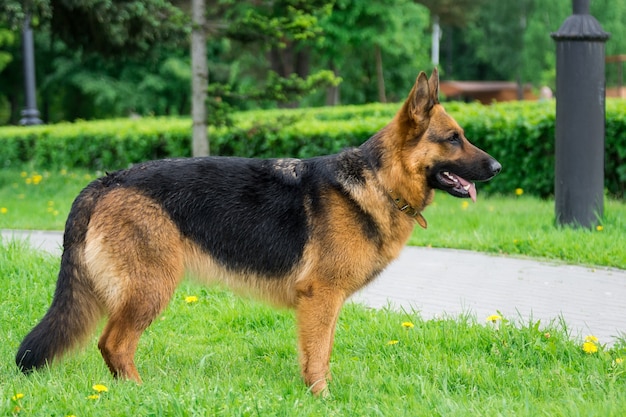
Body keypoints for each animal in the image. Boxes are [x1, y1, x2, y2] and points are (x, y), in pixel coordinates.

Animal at [17, 68, 500, 394]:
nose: (497, 167)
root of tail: (107, 180)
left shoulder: (324, 305)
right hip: (151, 287)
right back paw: (140, 393)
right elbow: (318, 358)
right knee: (113, 344)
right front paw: (322, 399)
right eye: (454, 138)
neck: (379, 181)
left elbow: (318, 354)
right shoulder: (321, 298)